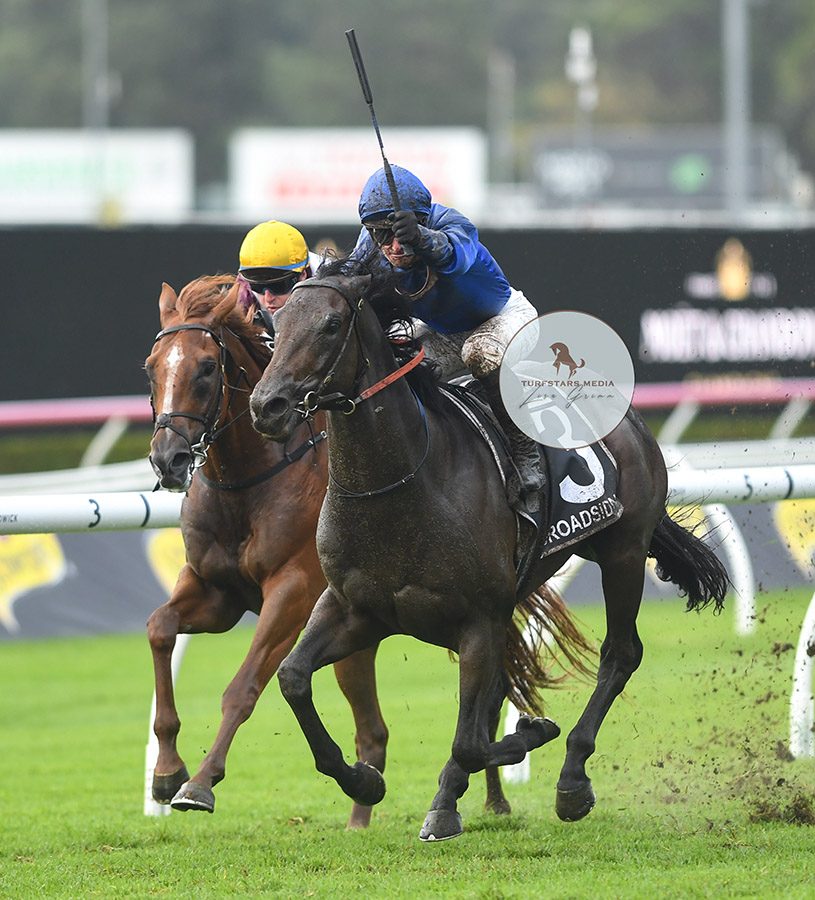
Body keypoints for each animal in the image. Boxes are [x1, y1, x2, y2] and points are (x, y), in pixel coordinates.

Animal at [252, 262, 728, 844]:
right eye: (275, 325)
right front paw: (365, 780)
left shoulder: (478, 616)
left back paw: (571, 780)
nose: (267, 406)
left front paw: (534, 732)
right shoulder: (354, 609)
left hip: (623, 551)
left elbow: (471, 741)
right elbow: (293, 679)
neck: (400, 485)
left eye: (331, 324)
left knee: (620, 654)